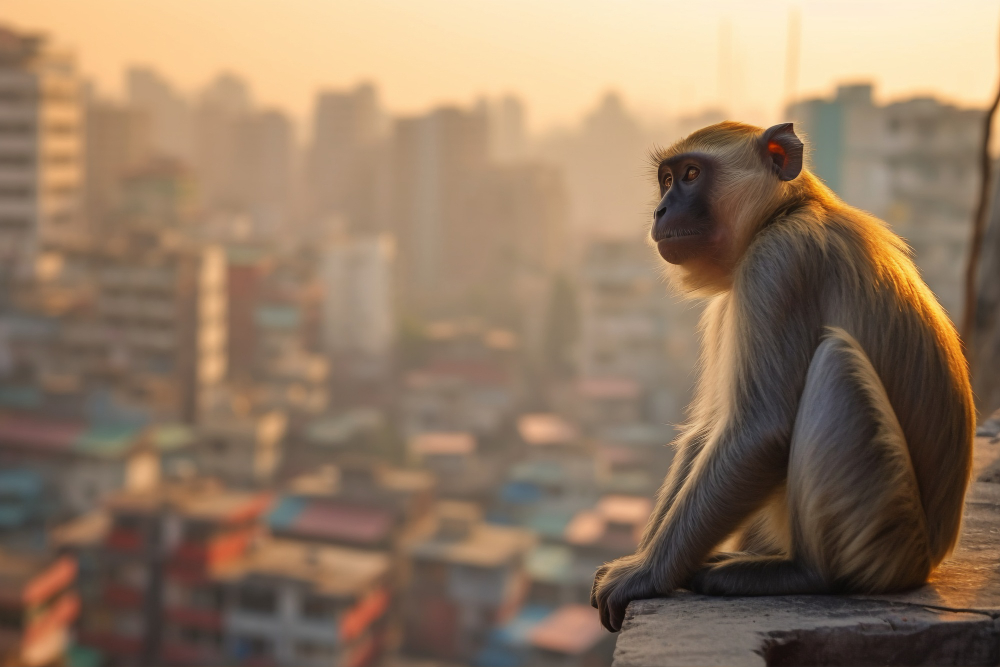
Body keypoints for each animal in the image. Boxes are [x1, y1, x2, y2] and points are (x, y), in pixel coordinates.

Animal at [590, 121, 975, 633]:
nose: (661, 209)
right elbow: (710, 432)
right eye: (666, 180)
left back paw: (807, 573)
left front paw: (644, 574)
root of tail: (931, 556)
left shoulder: (777, 266)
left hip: (887, 535)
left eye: (690, 175)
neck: (786, 212)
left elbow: (760, 430)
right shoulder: (733, 296)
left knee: (834, 363)